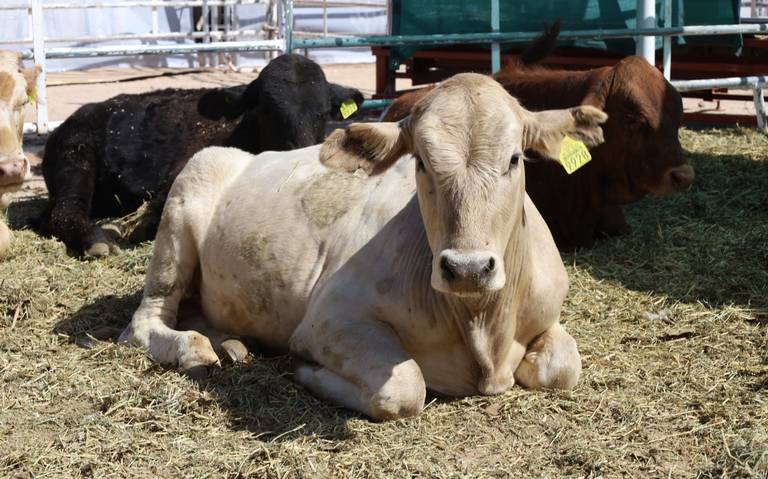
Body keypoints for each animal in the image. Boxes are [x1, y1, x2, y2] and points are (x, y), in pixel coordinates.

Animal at [120, 73, 608, 422]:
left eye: (514, 159)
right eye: (422, 162)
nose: (468, 268)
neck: (484, 328)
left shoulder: (547, 314)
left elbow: (562, 367)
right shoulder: (328, 320)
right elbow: (405, 387)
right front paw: (307, 371)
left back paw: (233, 345)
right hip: (181, 211)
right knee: (144, 323)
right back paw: (194, 349)